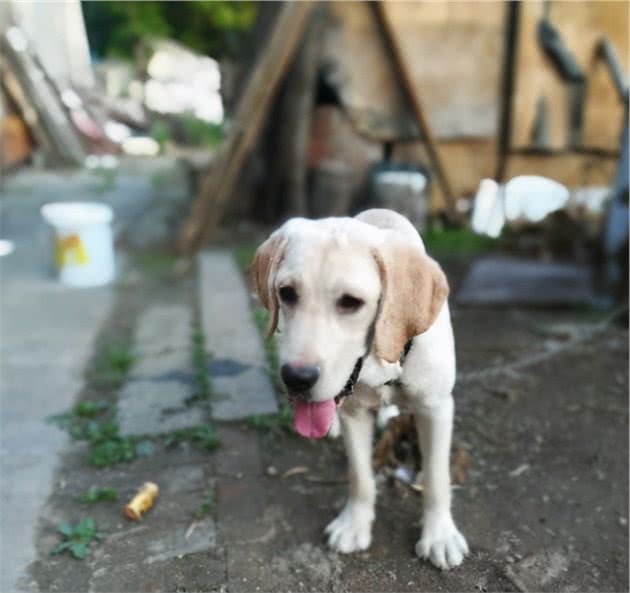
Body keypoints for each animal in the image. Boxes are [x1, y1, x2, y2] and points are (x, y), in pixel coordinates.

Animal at [252, 208, 470, 568]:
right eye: (287, 293)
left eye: (351, 302)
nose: (296, 379)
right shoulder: (353, 413)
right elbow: (360, 476)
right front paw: (355, 524)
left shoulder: (436, 407)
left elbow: (438, 477)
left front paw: (439, 535)